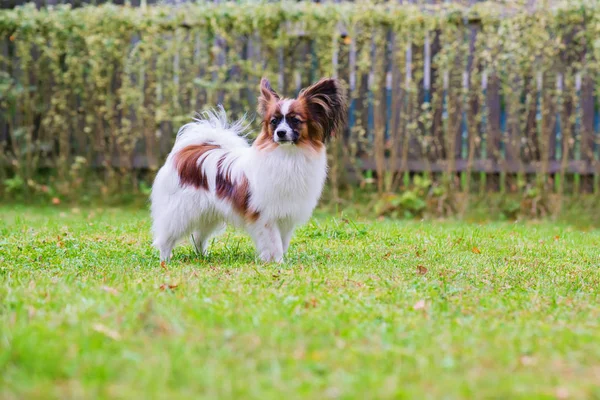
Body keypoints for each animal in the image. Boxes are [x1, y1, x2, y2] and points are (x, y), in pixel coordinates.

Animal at [149, 77, 346, 262]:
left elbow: (283, 242)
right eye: (274, 122)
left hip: (208, 213)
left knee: (198, 237)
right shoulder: (265, 216)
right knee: (165, 238)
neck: (288, 156)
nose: (280, 133)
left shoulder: (286, 216)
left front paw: (279, 261)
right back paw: (165, 261)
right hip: (181, 212)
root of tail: (186, 151)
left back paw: (202, 257)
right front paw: (277, 263)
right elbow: (274, 243)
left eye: (295, 120)